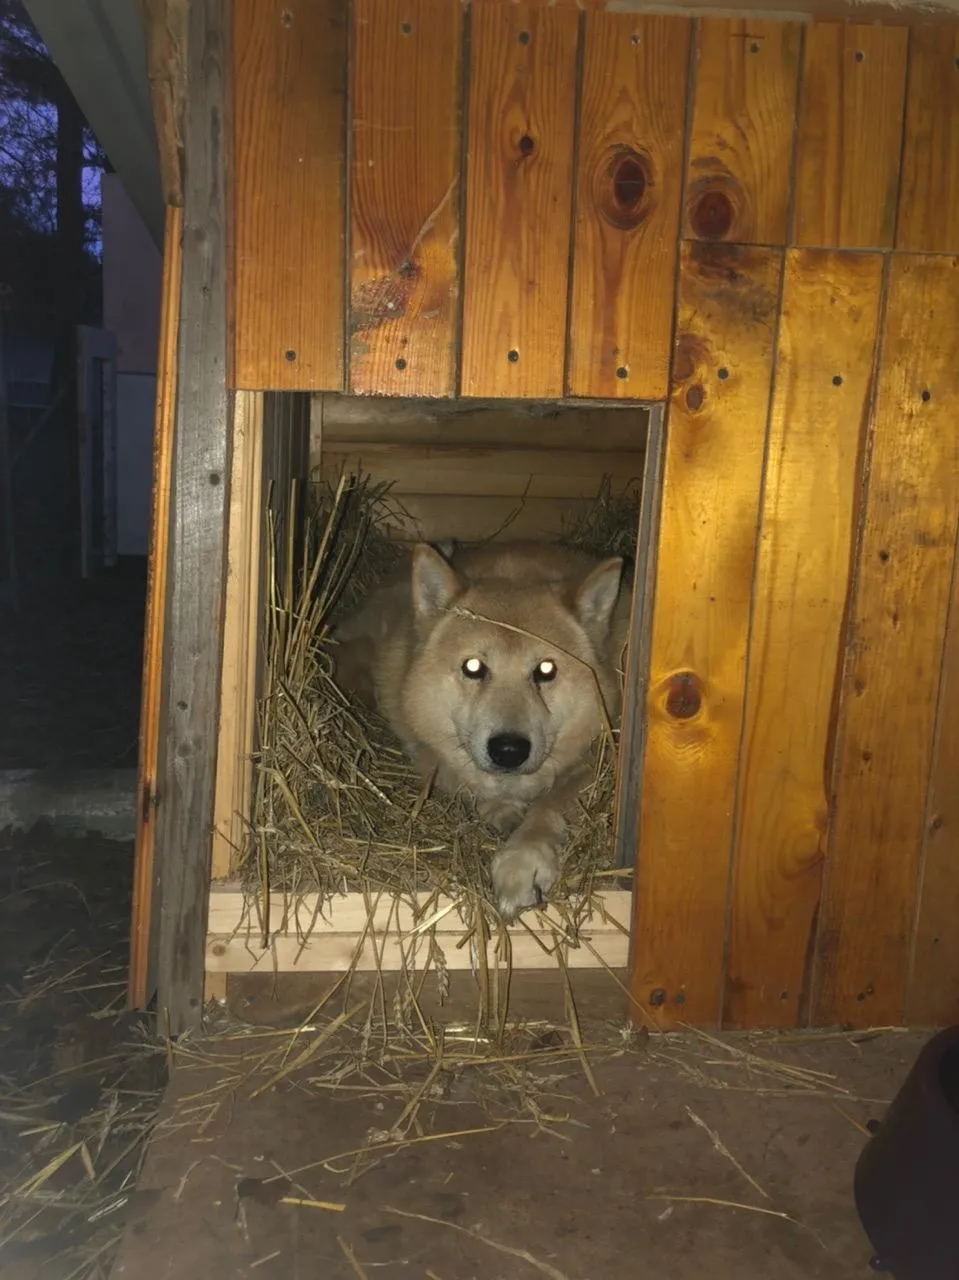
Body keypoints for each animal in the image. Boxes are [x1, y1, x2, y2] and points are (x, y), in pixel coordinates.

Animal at [330, 540, 627, 921]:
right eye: (473, 667)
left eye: (546, 670)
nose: (509, 750)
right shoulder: (429, 756)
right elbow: (469, 784)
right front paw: (502, 810)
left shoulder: (596, 760)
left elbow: (550, 805)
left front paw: (524, 857)